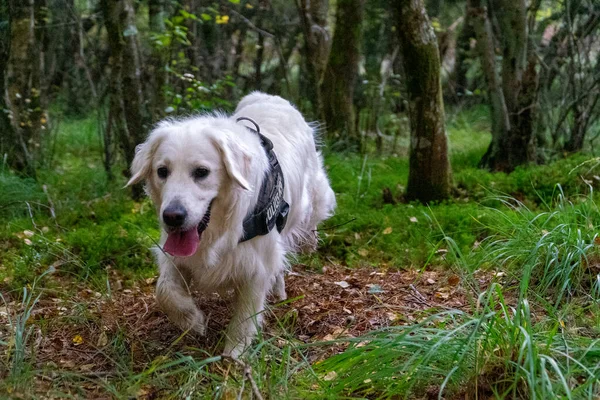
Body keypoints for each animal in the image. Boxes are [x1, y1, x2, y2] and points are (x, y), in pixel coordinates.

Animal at [126, 93, 336, 356]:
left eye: (201, 172)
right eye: (162, 171)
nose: (172, 216)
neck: (218, 230)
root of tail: (271, 97)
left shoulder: (256, 266)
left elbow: (244, 318)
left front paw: (233, 356)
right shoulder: (173, 254)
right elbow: (164, 291)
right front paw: (193, 321)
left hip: (310, 202)